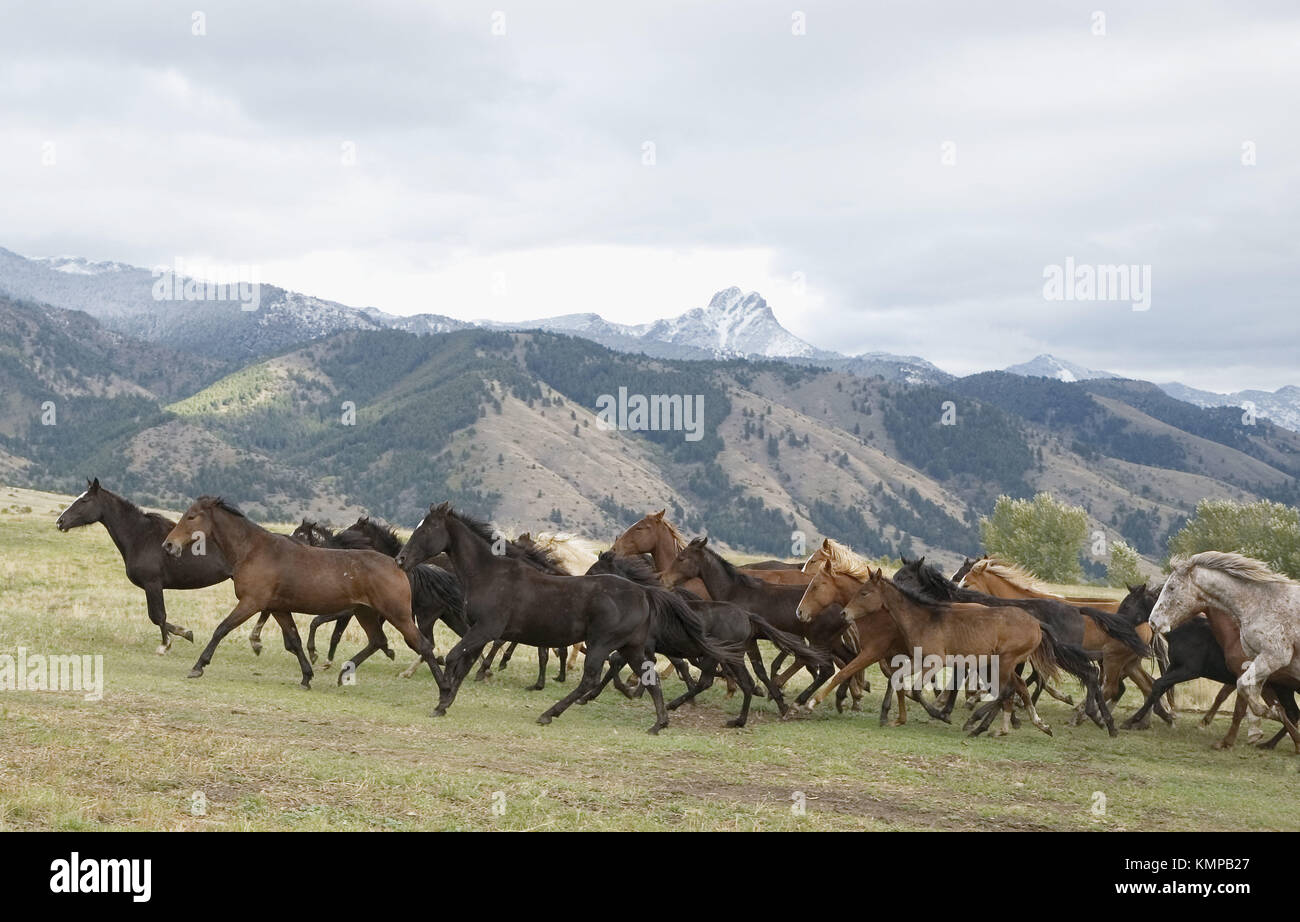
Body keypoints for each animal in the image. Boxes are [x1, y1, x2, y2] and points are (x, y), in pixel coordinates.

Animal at [55, 479, 231, 653]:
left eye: (84, 500)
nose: (60, 522)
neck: (141, 536)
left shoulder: (152, 584)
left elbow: (158, 616)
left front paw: (165, 644)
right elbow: (157, 618)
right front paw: (185, 632)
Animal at [161, 496, 443, 692]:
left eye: (191, 517)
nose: (168, 545)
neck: (253, 551)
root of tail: (397, 564)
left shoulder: (251, 603)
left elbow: (221, 629)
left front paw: (198, 666)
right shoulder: (278, 608)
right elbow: (294, 641)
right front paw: (307, 676)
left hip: (397, 615)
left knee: (422, 645)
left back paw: (444, 693)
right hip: (366, 613)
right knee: (378, 641)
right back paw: (345, 673)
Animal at [395, 503, 737, 733]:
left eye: (426, 529)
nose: (400, 559)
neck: (491, 574)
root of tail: (643, 592)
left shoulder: (486, 629)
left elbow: (455, 657)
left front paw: (443, 694)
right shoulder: (481, 631)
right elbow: (464, 662)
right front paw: (446, 700)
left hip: (602, 643)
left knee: (591, 678)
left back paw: (549, 713)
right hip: (632, 647)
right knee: (648, 675)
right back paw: (659, 722)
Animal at [1149, 552, 1300, 748]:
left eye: (1171, 587)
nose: (1153, 622)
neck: (1260, 604)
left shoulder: (1274, 656)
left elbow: (1242, 690)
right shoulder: (1261, 664)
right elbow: (1248, 694)